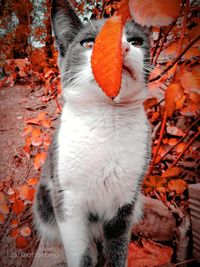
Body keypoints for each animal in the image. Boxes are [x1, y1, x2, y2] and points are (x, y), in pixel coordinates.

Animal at [33, 0, 152, 267]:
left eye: (135, 41)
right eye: (89, 43)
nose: (121, 47)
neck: (108, 117)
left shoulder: (126, 202)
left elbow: (118, 247)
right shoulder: (67, 198)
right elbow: (80, 250)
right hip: (44, 200)